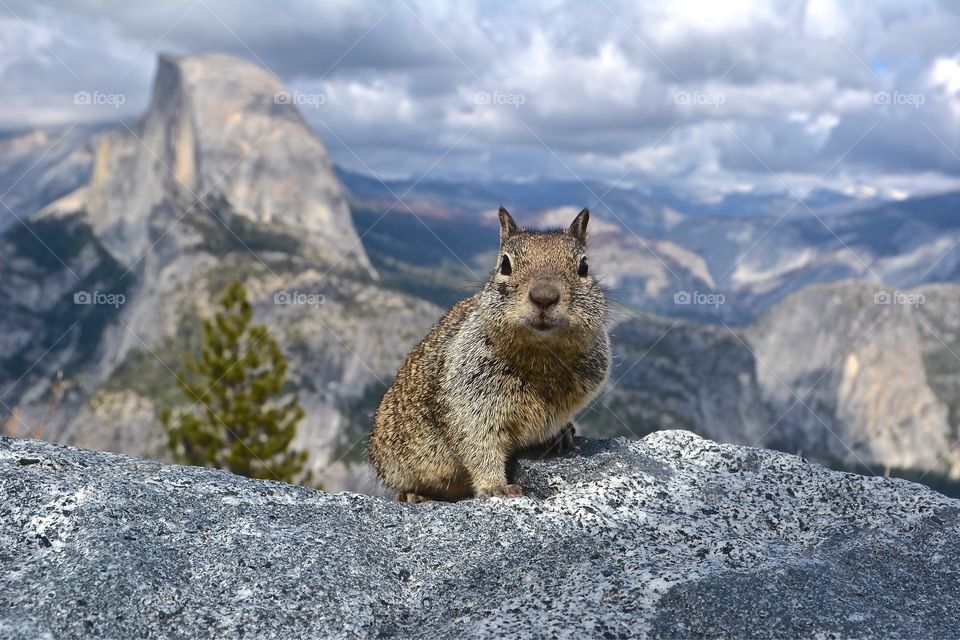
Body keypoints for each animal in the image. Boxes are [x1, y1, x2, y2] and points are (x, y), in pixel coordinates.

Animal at [368, 208, 608, 502]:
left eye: (583, 267)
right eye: (505, 265)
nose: (544, 297)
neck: (541, 356)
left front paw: (562, 432)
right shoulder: (469, 401)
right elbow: (479, 445)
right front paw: (496, 487)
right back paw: (414, 495)